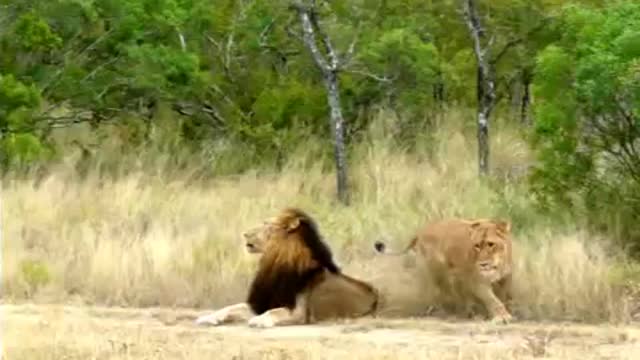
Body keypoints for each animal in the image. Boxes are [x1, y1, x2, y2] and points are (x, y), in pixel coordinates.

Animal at [195, 207, 380, 328]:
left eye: (266, 225)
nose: (245, 234)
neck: (275, 263)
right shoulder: (261, 303)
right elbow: (231, 307)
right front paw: (208, 317)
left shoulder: (300, 312)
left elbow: (276, 311)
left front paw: (259, 320)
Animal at [376, 218, 516, 324]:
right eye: (477, 246)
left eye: (491, 244)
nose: (483, 264)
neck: (498, 264)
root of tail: (422, 231)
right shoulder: (478, 281)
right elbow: (493, 300)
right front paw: (502, 317)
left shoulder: (506, 278)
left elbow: (502, 297)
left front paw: (500, 313)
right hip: (438, 270)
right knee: (442, 292)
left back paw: (469, 312)